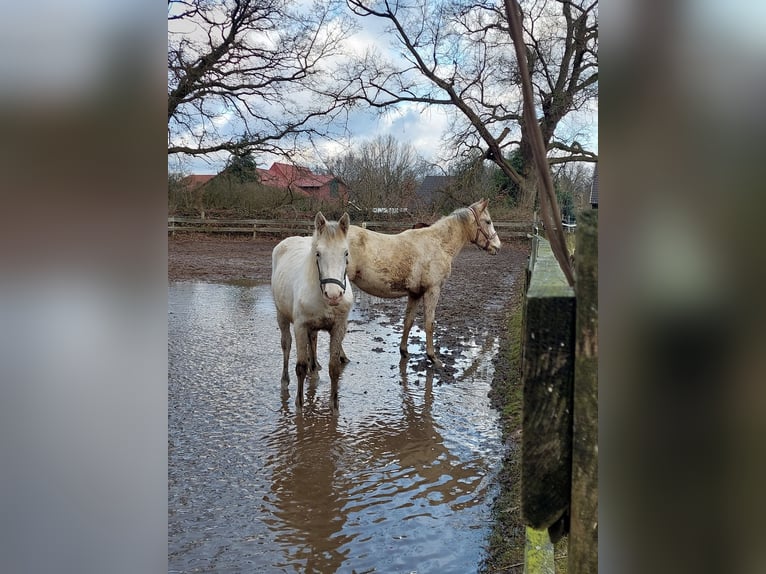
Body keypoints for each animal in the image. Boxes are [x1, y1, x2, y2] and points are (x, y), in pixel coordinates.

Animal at [272, 214, 352, 412]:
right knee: (286, 346)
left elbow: (334, 367)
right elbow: (300, 367)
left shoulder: (338, 327)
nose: (334, 295)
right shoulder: (300, 326)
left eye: (346, 253)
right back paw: (285, 381)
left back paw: (314, 372)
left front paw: (334, 406)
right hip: (282, 316)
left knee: (313, 342)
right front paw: (299, 406)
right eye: (318, 253)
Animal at [348, 198, 504, 368]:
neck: (439, 244)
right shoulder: (432, 290)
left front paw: (404, 351)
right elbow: (429, 323)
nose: (498, 246)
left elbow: (408, 321)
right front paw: (433, 357)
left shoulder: (415, 293)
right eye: (488, 221)